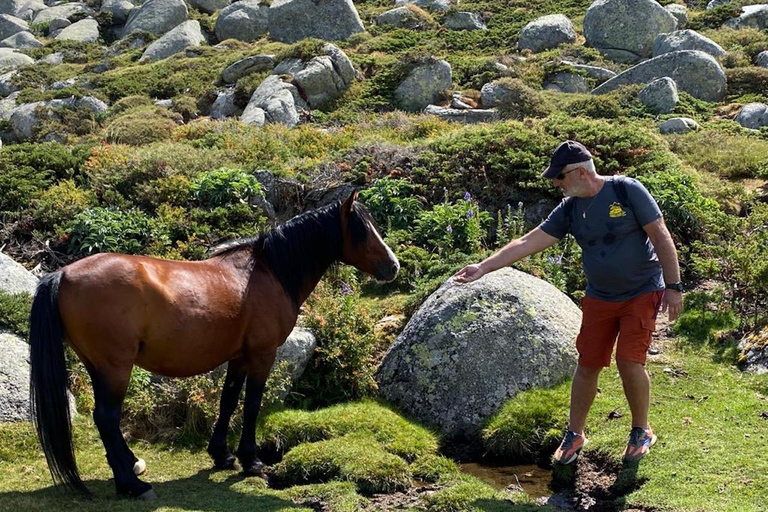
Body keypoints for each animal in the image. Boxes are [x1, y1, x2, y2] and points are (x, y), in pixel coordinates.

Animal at [27, 190, 400, 498]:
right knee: (107, 417)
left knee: (105, 420)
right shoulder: (263, 354)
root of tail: (62, 274)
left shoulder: (238, 356)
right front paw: (252, 461)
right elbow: (252, 404)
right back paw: (133, 485)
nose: (393, 266)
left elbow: (228, 400)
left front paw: (222, 454)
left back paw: (130, 468)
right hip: (116, 367)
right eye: (362, 230)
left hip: (97, 366)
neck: (269, 272)